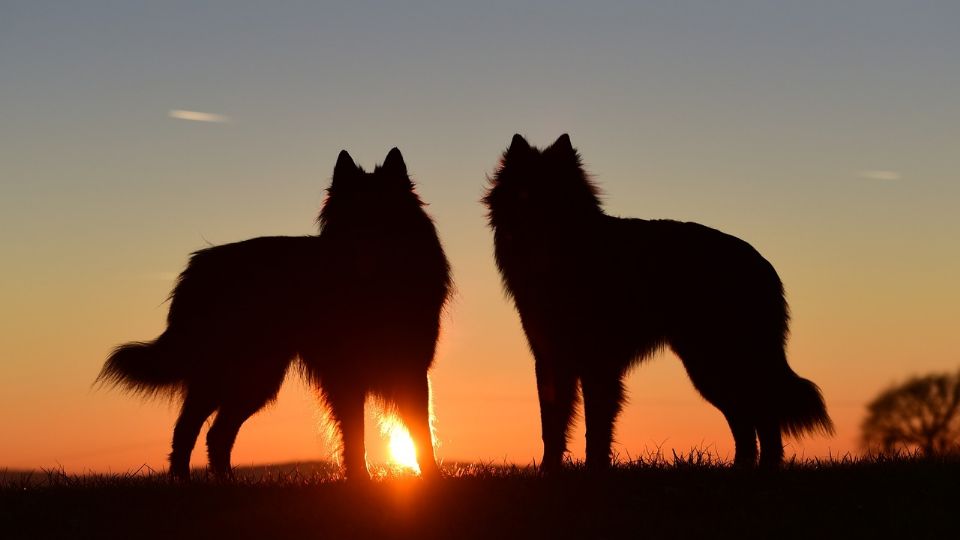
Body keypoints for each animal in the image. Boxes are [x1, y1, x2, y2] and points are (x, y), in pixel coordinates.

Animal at [99, 149, 448, 480]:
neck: (372, 284)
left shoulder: (412, 370)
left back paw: (227, 482)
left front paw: (430, 477)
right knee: (188, 428)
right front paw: (361, 479)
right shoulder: (345, 375)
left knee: (217, 434)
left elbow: (420, 431)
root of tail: (197, 266)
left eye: (384, 211)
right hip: (233, 375)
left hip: (256, 379)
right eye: (351, 216)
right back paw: (184, 481)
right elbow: (355, 432)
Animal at [488, 134, 832, 468]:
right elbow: (552, 424)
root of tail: (762, 263)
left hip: (719, 361)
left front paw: (594, 469)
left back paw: (766, 467)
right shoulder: (551, 359)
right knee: (746, 420)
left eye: (557, 194)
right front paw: (550, 470)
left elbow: (596, 426)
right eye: (524, 193)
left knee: (763, 413)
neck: (564, 257)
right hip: (709, 366)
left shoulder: (597, 362)